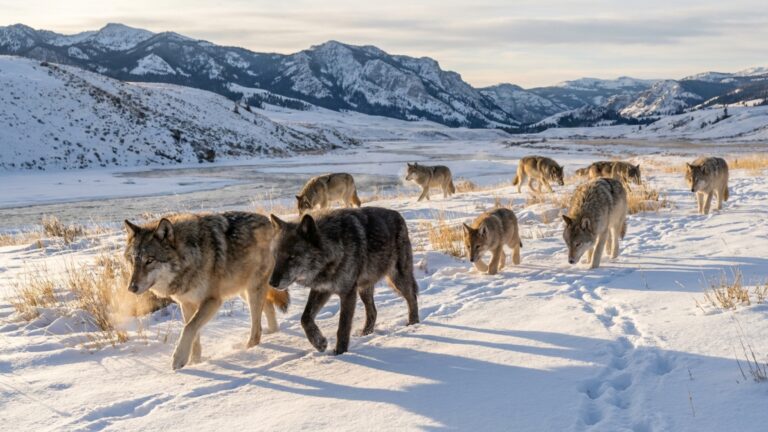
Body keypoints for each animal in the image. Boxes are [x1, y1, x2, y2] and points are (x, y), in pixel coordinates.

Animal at [123, 212, 289, 370]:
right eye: (132, 261)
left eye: (149, 260)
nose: (131, 288)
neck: (190, 257)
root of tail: (270, 221)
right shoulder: (187, 304)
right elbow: (193, 333)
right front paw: (194, 362)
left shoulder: (212, 300)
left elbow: (189, 328)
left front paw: (179, 359)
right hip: (244, 291)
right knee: (268, 307)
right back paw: (272, 333)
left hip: (252, 290)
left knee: (256, 326)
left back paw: (249, 348)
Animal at [269, 207, 419, 355]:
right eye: (275, 257)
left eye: (292, 257)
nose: (271, 283)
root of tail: (397, 215)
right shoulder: (322, 289)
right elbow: (305, 317)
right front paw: (319, 343)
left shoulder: (347, 293)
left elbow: (343, 326)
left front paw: (340, 352)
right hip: (364, 289)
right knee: (373, 311)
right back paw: (365, 333)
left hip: (398, 280)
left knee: (412, 297)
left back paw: (414, 323)